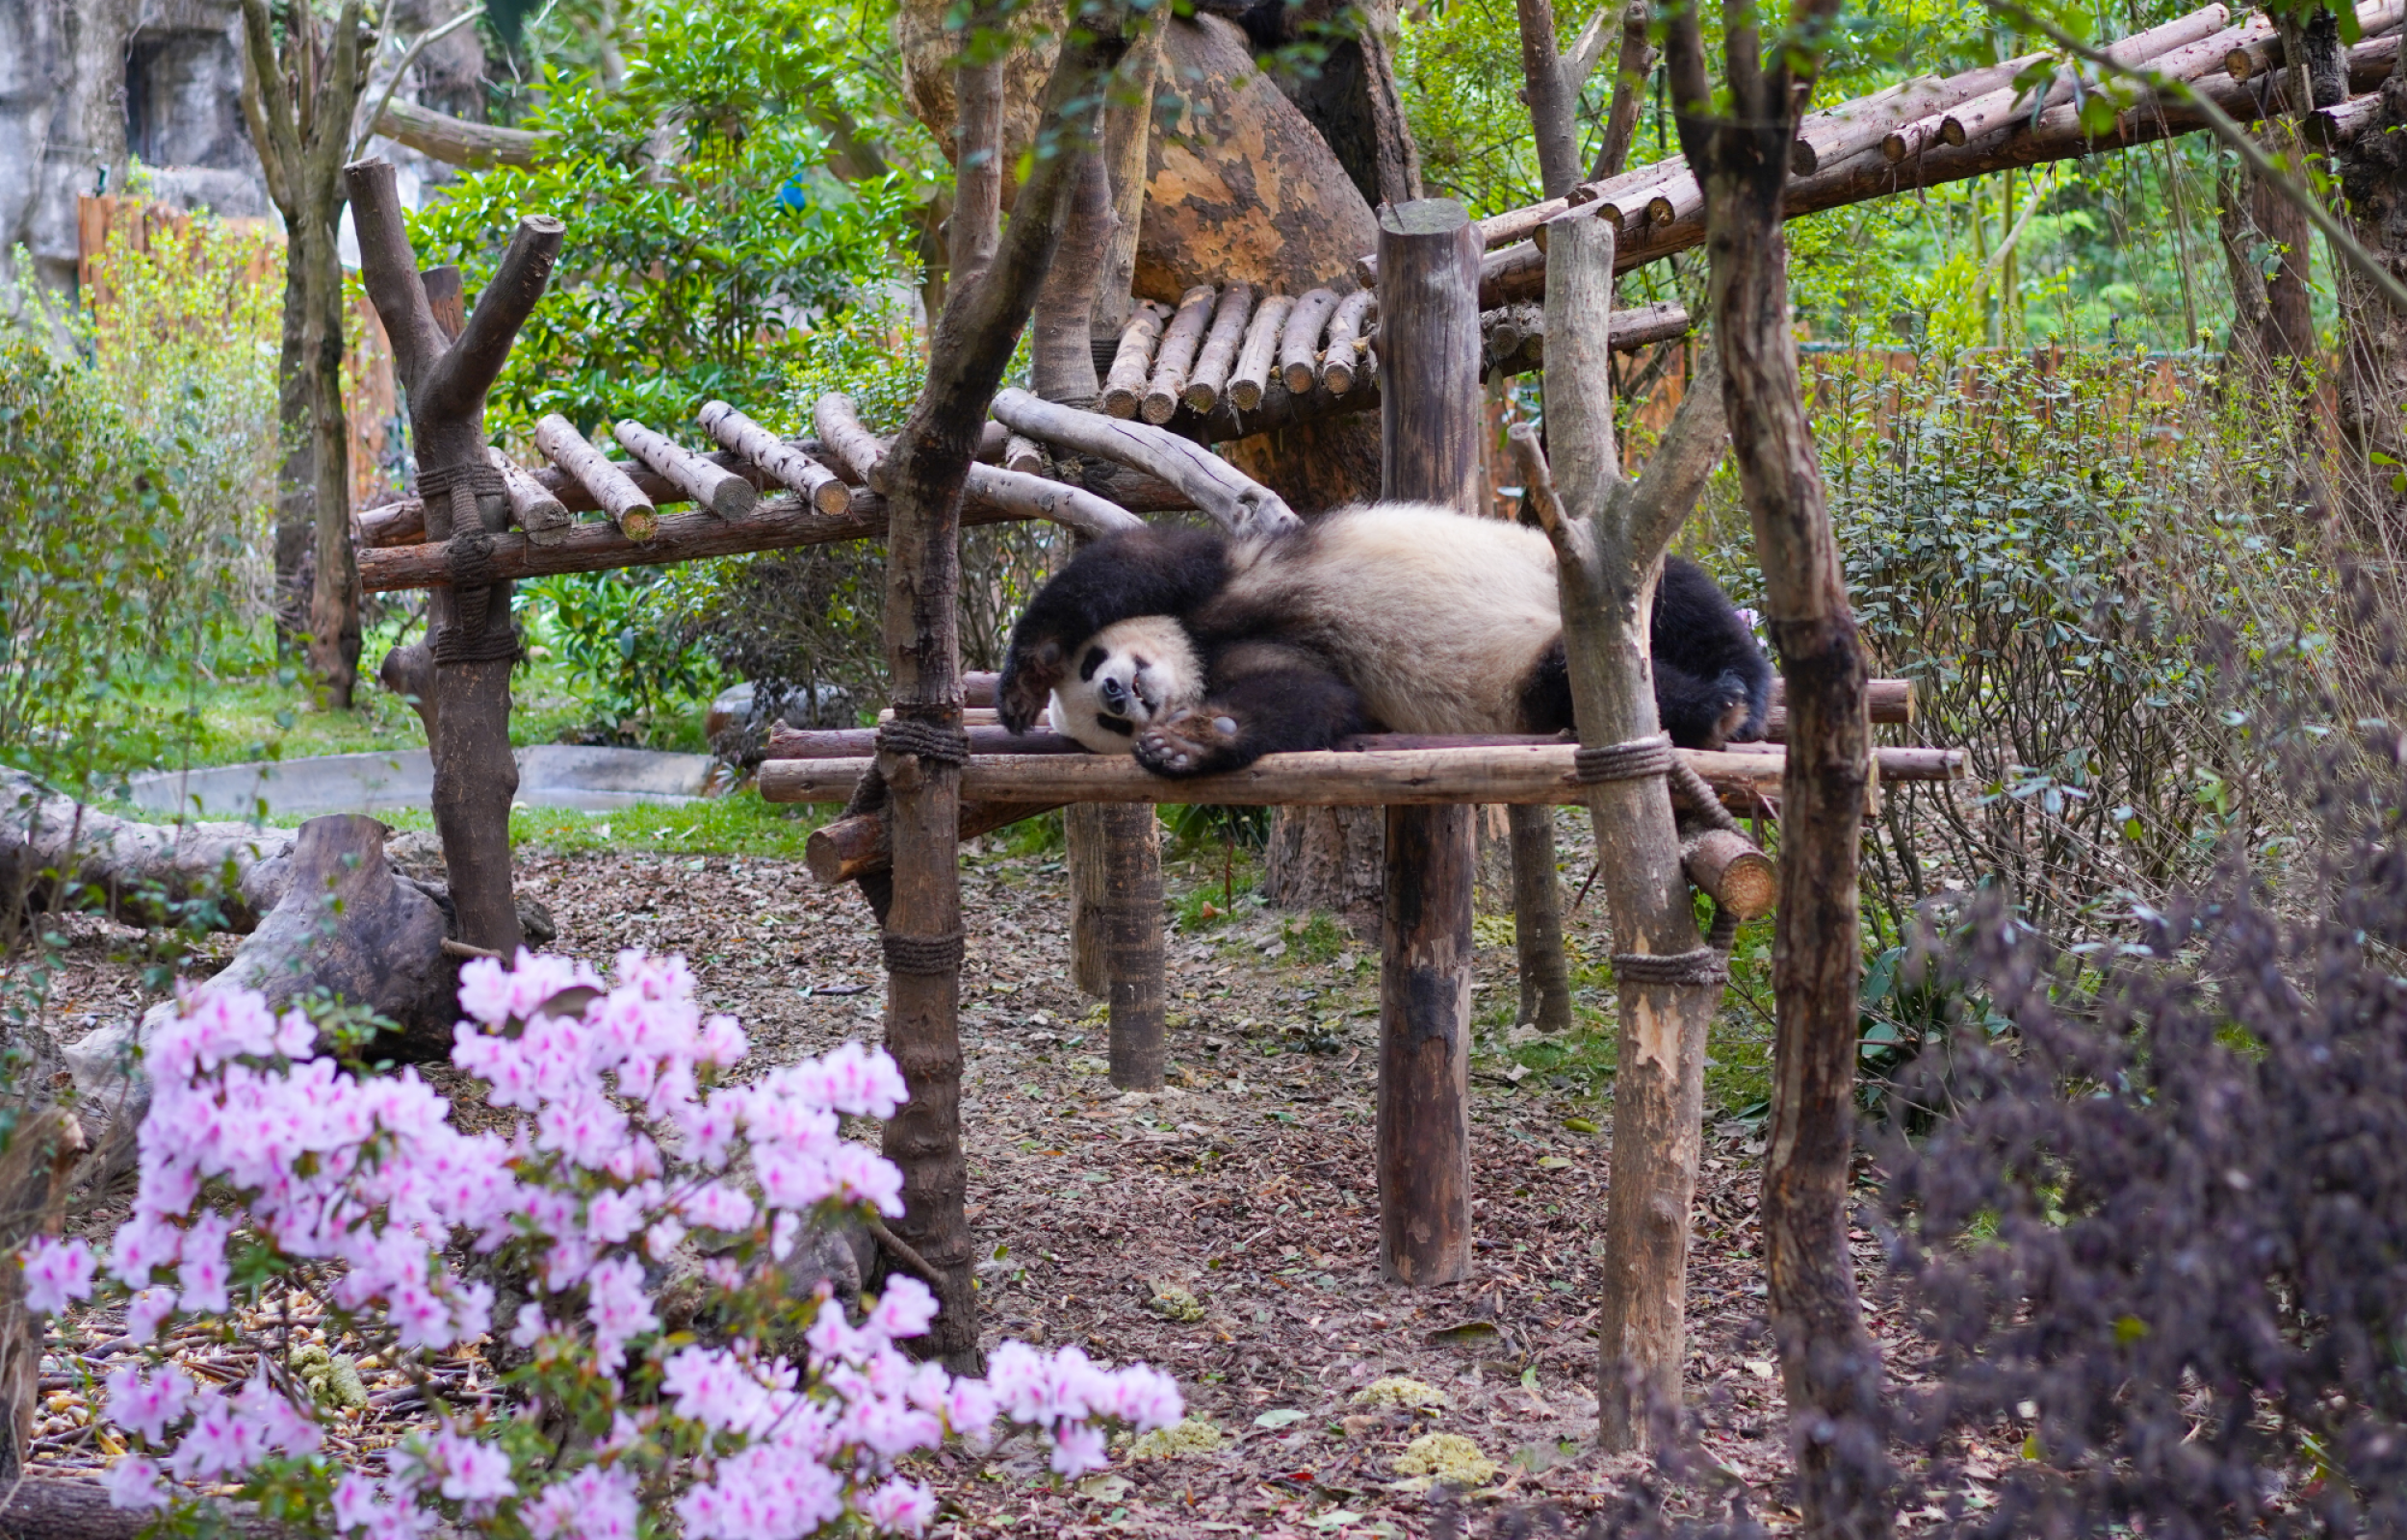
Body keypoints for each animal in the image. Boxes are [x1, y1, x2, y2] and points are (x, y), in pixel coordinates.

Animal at [997, 502, 1772, 778]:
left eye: (1095, 662)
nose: (1117, 692)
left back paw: (1736, 695)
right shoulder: (1263, 664)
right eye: (1108, 727)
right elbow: (1310, 699)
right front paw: (1191, 741)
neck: (1196, 655)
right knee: (1568, 680)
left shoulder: (1222, 576)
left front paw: (1026, 677)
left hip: (1569, 565)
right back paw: (1717, 708)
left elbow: (1133, 561)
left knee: (1682, 603)